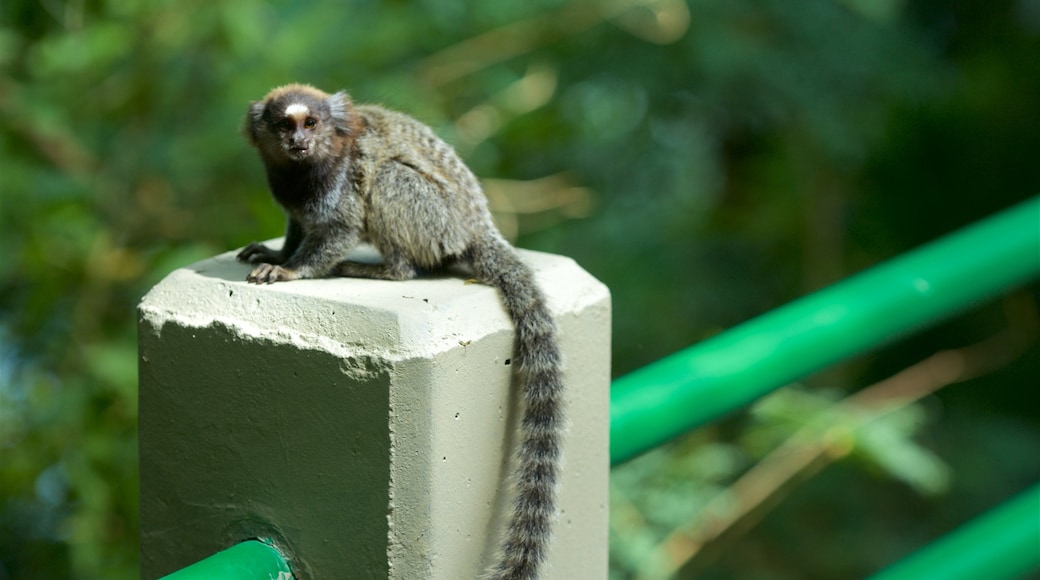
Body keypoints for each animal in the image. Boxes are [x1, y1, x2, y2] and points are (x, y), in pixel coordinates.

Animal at [239, 83, 565, 580]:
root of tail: (475, 229)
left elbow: (340, 228)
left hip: (434, 220)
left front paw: (292, 270)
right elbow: (297, 227)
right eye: (283, 125)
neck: (306, 171)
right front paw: (278, 253)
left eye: (311, 124)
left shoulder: (341, 186)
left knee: (390, 181)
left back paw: (387, 269)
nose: (299, 142)